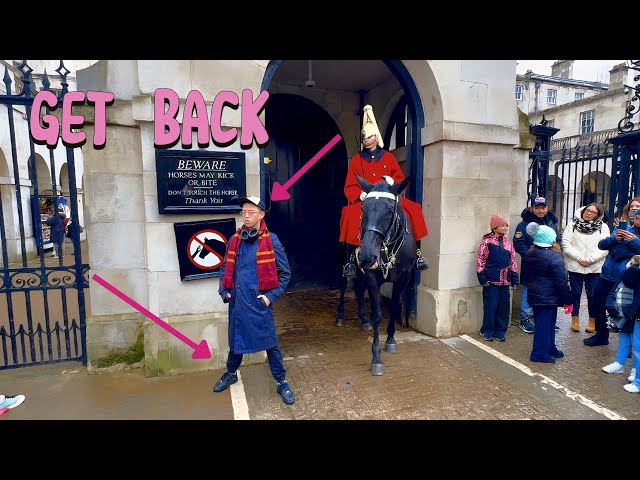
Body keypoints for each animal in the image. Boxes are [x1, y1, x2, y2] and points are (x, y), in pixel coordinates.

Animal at [352, 174, 412, 376]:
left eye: (389, 210)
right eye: (363, 208)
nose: (366, 256)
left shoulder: (403, 278)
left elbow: (393, 307)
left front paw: (391, 340)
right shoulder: (372, 278)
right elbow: (377, 314)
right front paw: (376, 358)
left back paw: (363, 319)